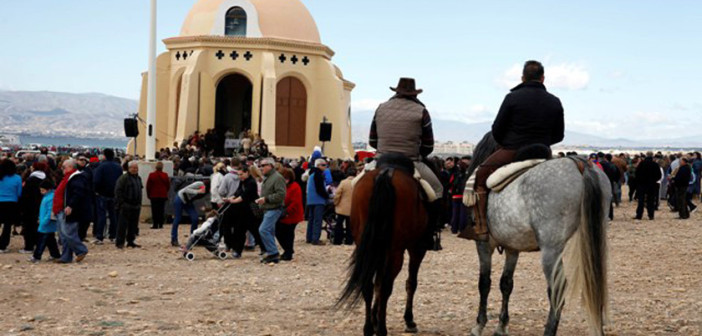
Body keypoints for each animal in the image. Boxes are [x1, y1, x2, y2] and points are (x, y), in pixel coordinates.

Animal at [338, 154, 432, 336]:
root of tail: (386, 173)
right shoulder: (417, 248)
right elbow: (411, 282)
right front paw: (409, 320)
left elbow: (377, 282)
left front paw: (374, 318)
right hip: (395, 250)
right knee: (386, 287)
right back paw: (382, 328)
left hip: (368, 245)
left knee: (369, 284)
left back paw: (369, 327)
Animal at [468, 133, 612, 334]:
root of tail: (580, 165)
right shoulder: (512, 248)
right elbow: (506, 283)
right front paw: (502, 326)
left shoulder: (483, 244)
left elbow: (484, 283)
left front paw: (479, 325)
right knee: (595, 281)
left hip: (551, 250)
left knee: (557, 288)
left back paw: (549, 330)